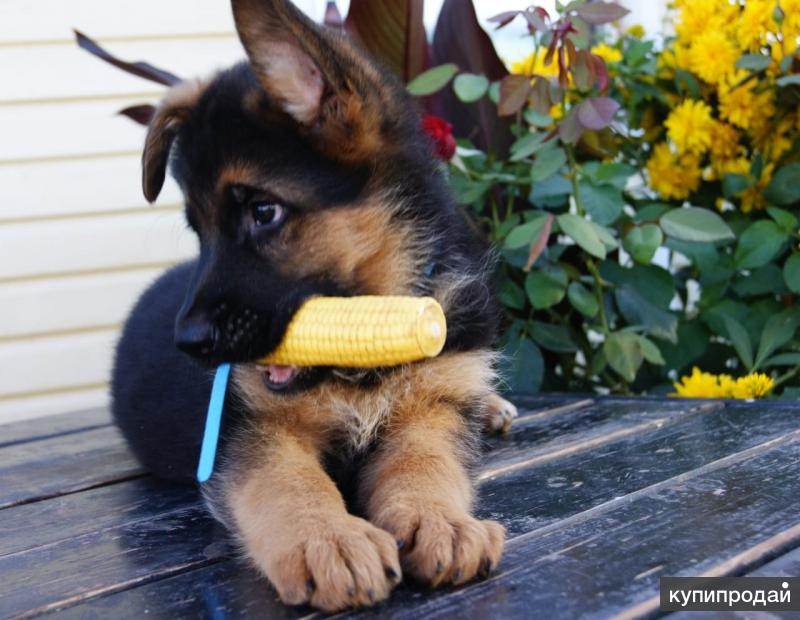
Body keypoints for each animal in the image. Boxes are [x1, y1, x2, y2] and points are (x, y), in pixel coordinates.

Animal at [111, 0, 512, 612]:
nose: (187, 343)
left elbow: (426, 462)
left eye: (264, 212)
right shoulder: (249, 429)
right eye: (198, 229)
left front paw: (439, 520)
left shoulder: (435, 403)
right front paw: (329, 539)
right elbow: (286, 482)